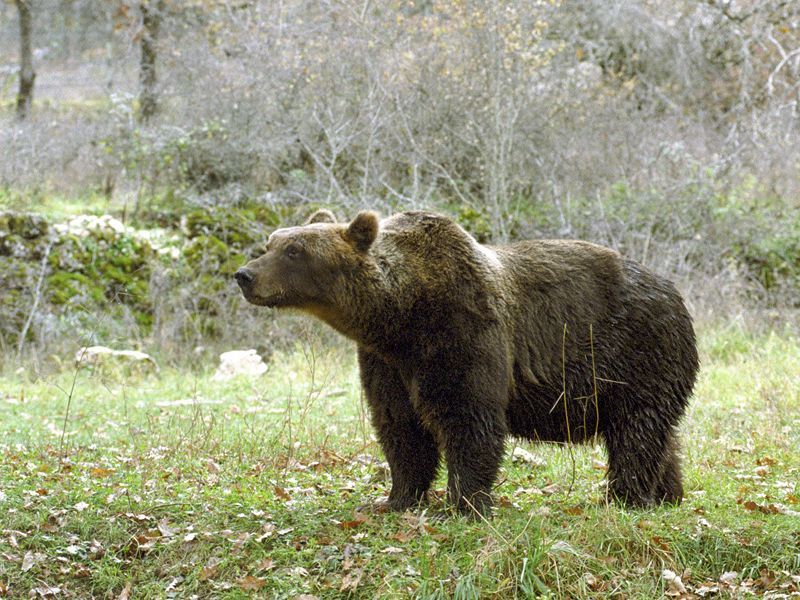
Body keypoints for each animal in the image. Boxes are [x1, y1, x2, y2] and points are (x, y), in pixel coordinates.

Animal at [234, 211, 696, 516]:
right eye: (272, 242)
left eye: (295, 250)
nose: (245, 275)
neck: (401, 315)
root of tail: (675, 291)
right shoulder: (386, 362)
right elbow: (400, 427)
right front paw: (396, 498)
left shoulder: (463, 333)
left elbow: (469, 419)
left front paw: (464, 504)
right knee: (658, 436)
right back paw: (667, 493)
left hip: (638, 354)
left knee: (636, 434)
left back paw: (624, 498)